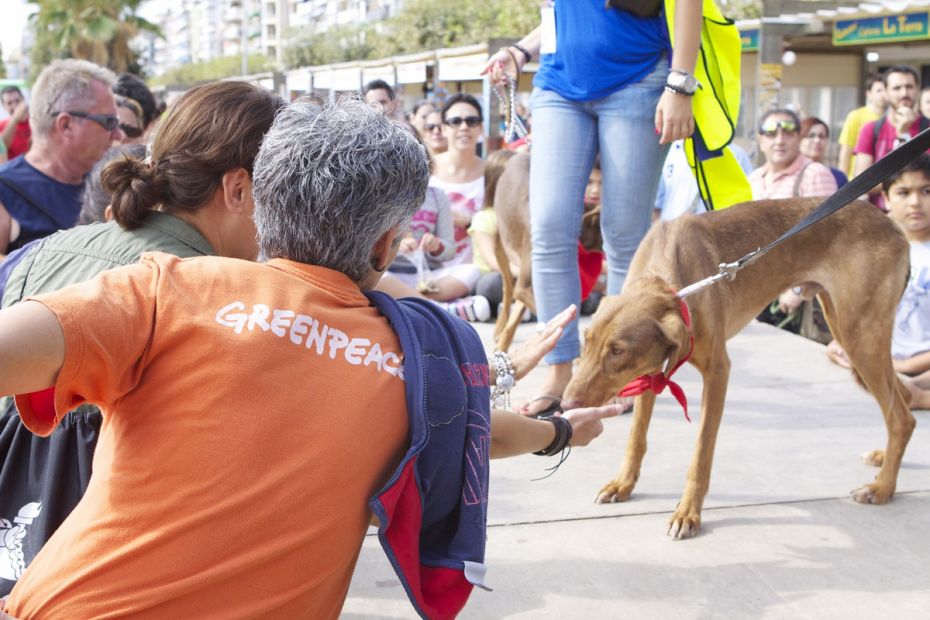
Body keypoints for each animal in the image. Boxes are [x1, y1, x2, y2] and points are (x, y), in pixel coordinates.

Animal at [560, 197, 908, 536]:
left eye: (617, 350)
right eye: (586, 341)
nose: (566, 405)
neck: (672, 276)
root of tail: (892, 225)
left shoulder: (718, 372)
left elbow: (701, 452)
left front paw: (688, 513)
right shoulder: (651, 372)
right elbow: (636, 438)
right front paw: (623, 484)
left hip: (859, 336)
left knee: (902, 419)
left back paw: (883, 488)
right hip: (849, 328)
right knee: (901, 406)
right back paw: (883, 459)